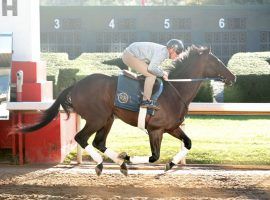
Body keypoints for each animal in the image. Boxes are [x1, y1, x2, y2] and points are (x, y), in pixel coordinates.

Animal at [20, 45, 235, 175]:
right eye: (216, 61)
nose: (233, 77)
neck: (176, 89)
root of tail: (76, 84)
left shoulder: (172, 127)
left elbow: (188, 143)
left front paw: (171, 164)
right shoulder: (156, 130)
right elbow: (154, 156)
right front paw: (130, 157)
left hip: (108, 119)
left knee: (99, 142)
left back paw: (119, 163)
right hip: (97, 118)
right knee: (81, 138)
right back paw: (105, 163)